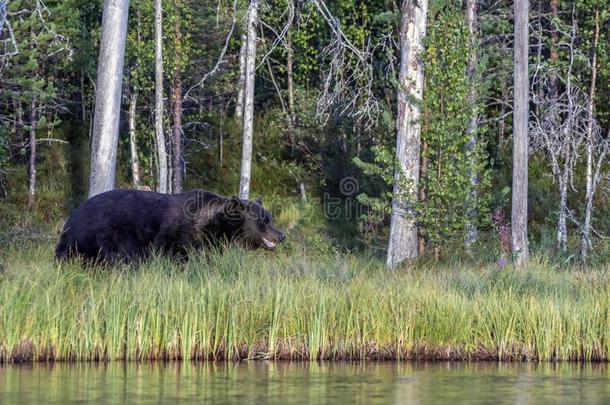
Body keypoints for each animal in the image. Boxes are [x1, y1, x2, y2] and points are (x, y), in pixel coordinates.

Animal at [54, 189, 284, 264]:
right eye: (263, 220)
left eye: (270, 217)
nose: (282, 235)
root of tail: (69, 220)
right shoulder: (175, 236)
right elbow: (174, 254)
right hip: (103, 237)